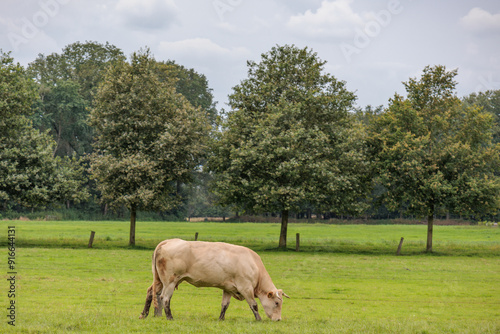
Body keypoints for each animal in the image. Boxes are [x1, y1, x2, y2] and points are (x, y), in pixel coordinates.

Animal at [140, 237, 290, 320]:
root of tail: (168, 241)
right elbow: (254, 305)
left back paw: (144, 314)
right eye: (277, 303)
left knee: (150, 292)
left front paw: (221, 319)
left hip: (160, 280)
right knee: (164, 298)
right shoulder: (245, 288)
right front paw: (259, 319)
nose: (278, 319)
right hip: (170, 281)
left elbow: (225, 305)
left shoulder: (228, 288)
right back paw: (170, 317)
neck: (253, 264)